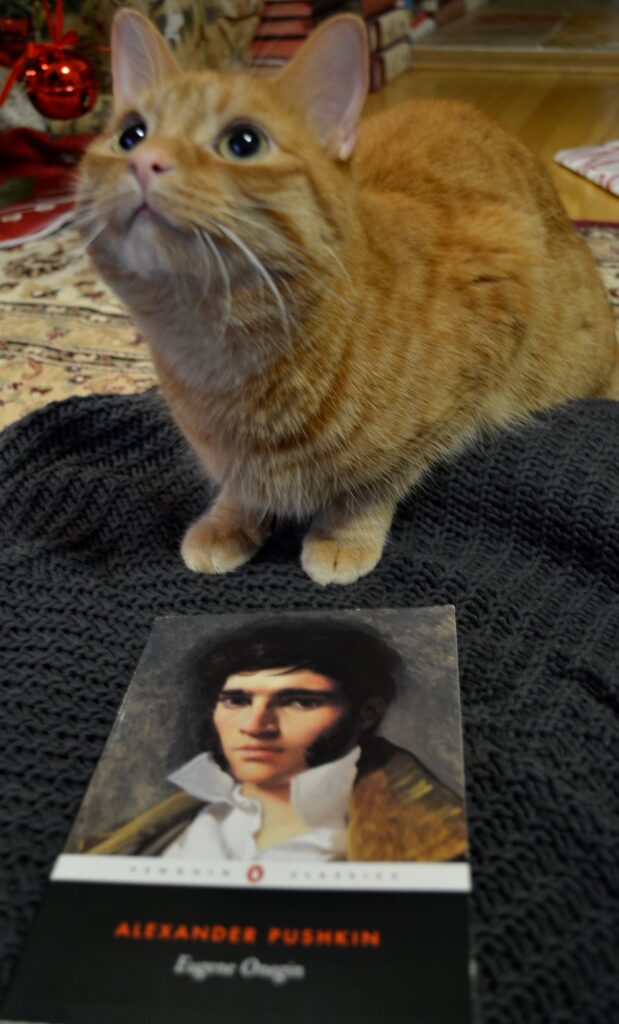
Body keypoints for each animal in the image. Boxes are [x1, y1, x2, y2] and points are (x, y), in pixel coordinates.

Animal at [76, 8, 614, 585]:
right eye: (130, 135)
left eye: (243, 143)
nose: (146, 160)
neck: (219, 361)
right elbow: (241, 486)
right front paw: (230, 519)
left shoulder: (501, 283)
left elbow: (376, 481)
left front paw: (342, 534)